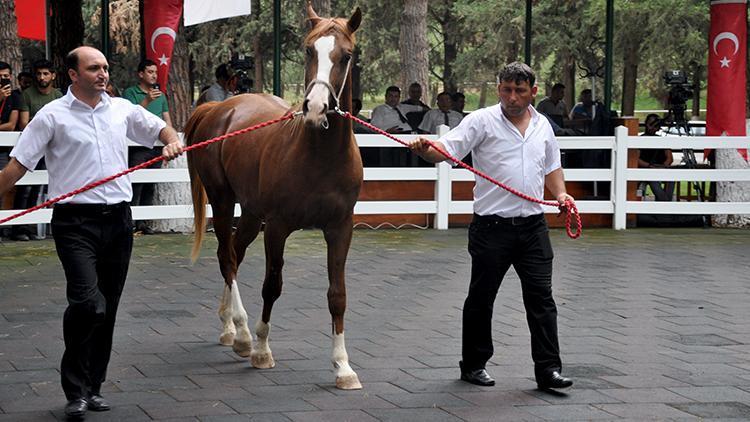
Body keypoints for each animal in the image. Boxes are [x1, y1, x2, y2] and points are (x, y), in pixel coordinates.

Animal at [187, 4, 366, 390]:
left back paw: (228, 324)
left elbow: (338, 295)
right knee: (227, 258)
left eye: (346, 55)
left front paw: (343, 366)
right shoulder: (278, 227)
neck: (319, 155)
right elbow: (272, 285)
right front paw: (261, 348)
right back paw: (241, 334)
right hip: (223, 200)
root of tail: (218, 110)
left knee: (234, 253)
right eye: (309, 50)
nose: (315, 107)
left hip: (252, 214)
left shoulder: (340, 228)